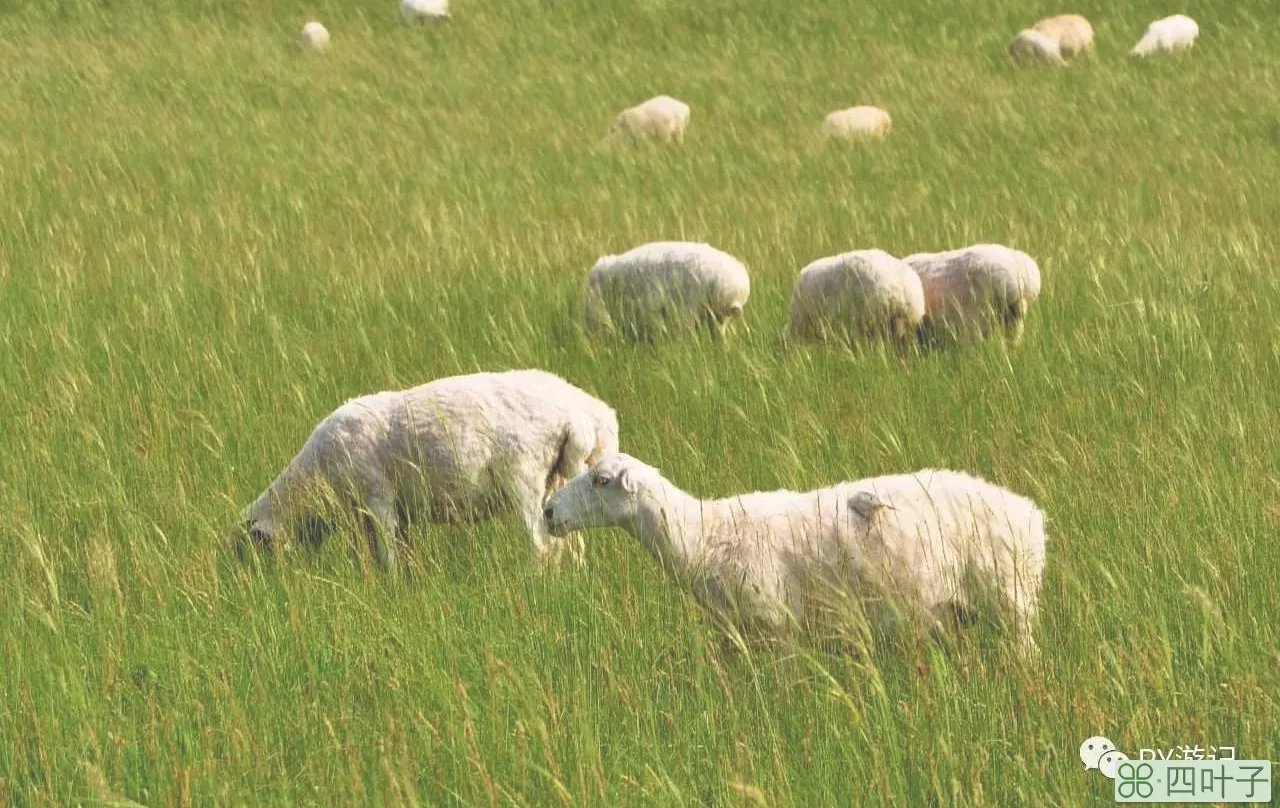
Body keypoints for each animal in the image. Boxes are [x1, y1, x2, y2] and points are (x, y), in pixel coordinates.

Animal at [241, 368, 622, 571]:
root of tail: (585, 414)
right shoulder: (380, 514)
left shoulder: (377, 498)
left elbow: (389, 555)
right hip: (565, 485)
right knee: (572, 543)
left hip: (525, 477)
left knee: (541, 545)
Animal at [542, 455, 1049, 655]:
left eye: (601, 480)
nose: (548, 512)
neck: (704, 534)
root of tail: (1030, 513)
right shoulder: (738, 635)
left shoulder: (776, 627)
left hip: (1011, 602)